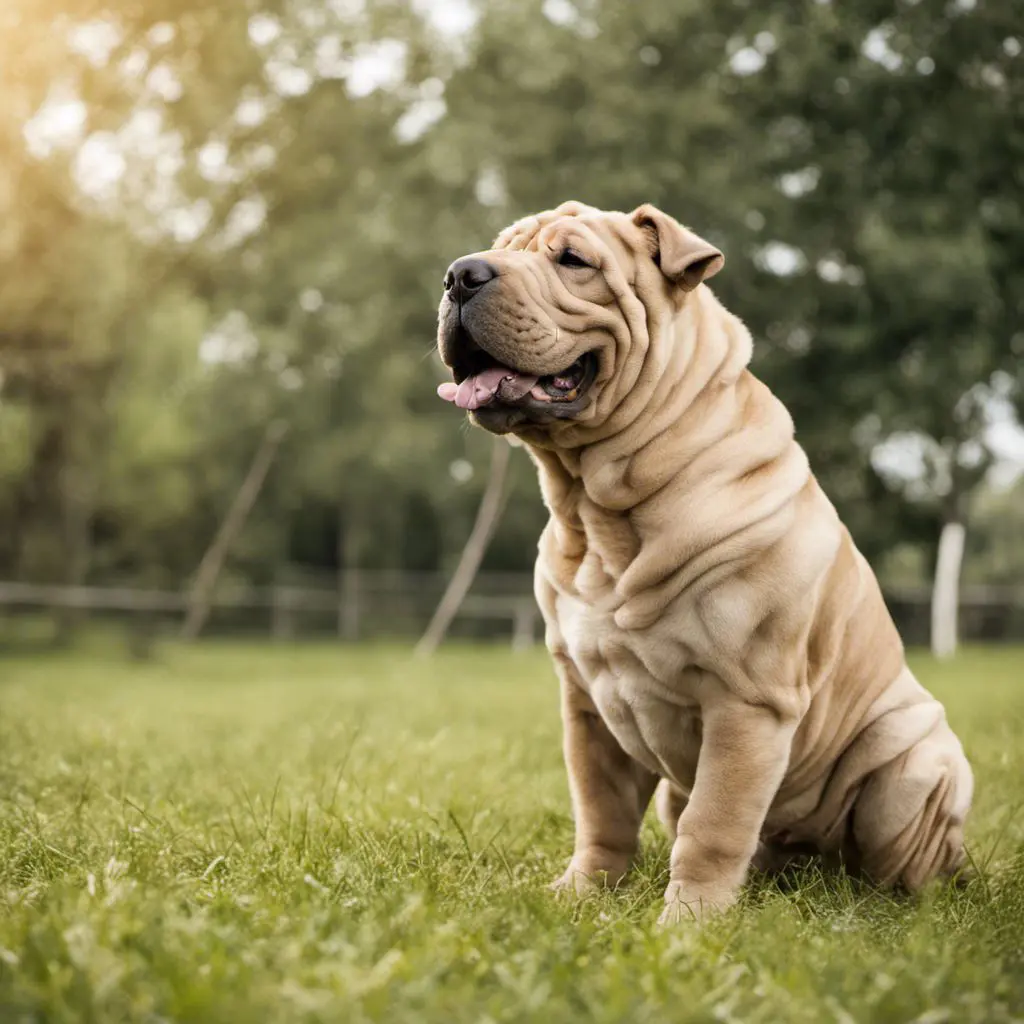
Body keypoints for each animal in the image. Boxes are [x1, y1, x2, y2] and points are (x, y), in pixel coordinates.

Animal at [430, 201, 966, 929]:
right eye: (500, 248)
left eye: (572, 261)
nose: (460, 275)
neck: (596, 511)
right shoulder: (586, 705)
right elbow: (599, 809)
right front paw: (583, 892)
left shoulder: (746, 703)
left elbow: (713, 823)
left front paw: (689, 923)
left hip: (911, 768)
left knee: (909, 862)